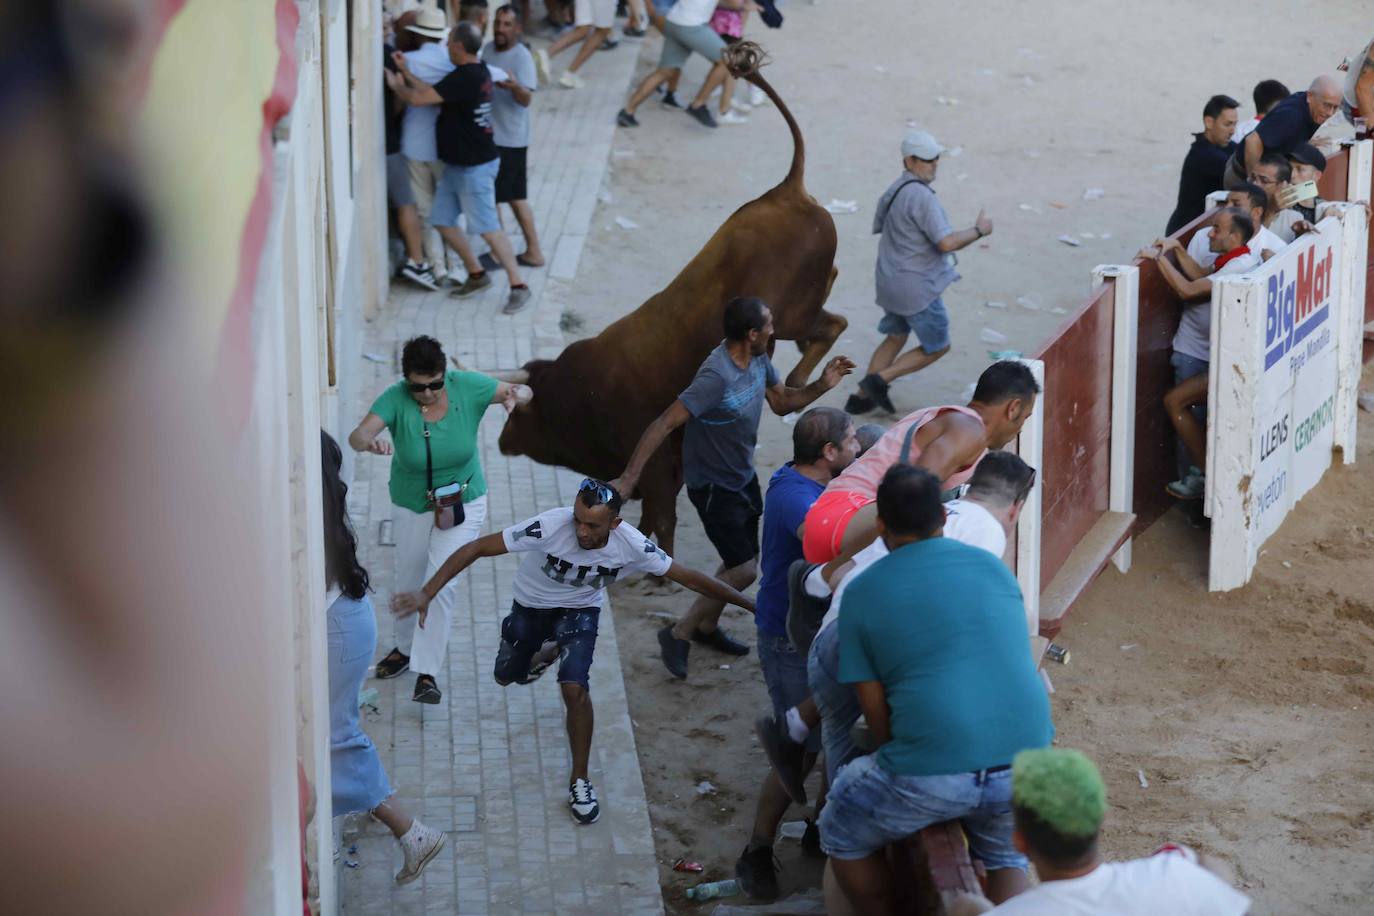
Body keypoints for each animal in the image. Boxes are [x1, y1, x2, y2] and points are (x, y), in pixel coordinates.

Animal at [494, 42, 835, 554]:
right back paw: (796, 387)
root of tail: (787, 190)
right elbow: (652, 516)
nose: (500, 442)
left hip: (794, 314)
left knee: (831, 326)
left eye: (518, 410)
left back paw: (796, 385)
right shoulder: (668, 465)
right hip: (799, 311)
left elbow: (661, 517)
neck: (576, 392)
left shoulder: (656, 467)